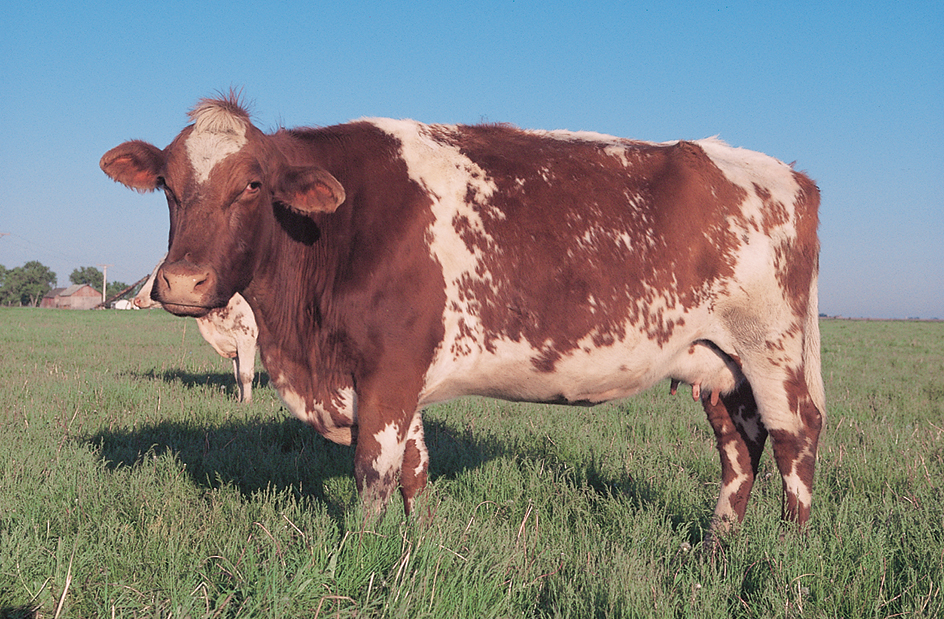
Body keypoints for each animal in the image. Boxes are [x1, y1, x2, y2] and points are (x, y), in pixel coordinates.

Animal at [134, 254, 258, 404]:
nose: (137, 299)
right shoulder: (234, 346)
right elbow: (237, 376)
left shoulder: (246, 339)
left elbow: (245, 374)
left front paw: (247, 402)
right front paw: (239, 400)